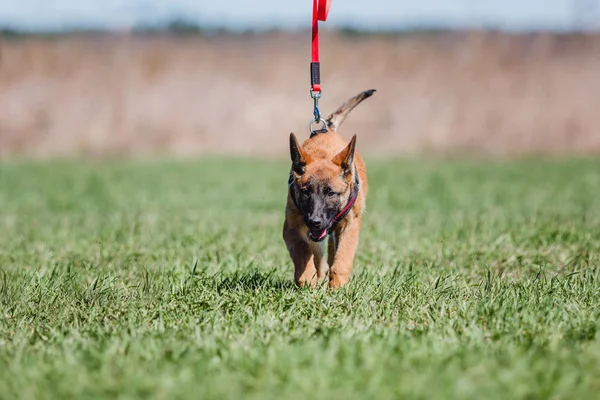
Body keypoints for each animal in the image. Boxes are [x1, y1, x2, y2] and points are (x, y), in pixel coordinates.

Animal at [282, 88, 376, 288]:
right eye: (306, 192)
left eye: (331, 193)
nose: (315, 221)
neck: (323, 155)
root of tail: (327, 130)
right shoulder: (292, 227)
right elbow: (303, 252)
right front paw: (307, 280)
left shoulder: (350, 224)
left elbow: (342, 258)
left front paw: (338, 286)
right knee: (319, 256)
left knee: (333, 252)